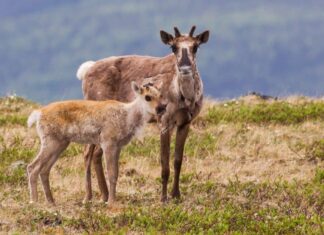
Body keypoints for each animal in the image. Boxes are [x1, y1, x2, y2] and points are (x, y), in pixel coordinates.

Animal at [26, 81, 163, 205]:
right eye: (147, 97)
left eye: (160, 95)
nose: (161, 108)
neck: (127, 116)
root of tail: (38, 113)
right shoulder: (108, 144)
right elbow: (111, 173)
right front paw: (111, 202)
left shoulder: (118, 147)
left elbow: (116, 173)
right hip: (50, 142)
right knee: (33, 167)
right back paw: (34, 201)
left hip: (60, 144)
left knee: (44, 170)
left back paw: (51, 201)